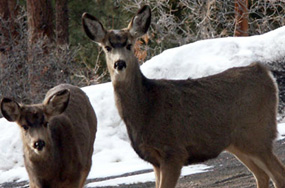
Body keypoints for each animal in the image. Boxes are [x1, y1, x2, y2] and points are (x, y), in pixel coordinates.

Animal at [81, 5, 284, 187]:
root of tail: (264, 73)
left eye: (129, 45)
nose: (120, 63)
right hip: (239, 142)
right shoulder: (155, 160)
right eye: (107, 47)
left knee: (278, 174)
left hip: (257, 133)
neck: (146, 107)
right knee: (262, 175)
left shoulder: (174, 152)